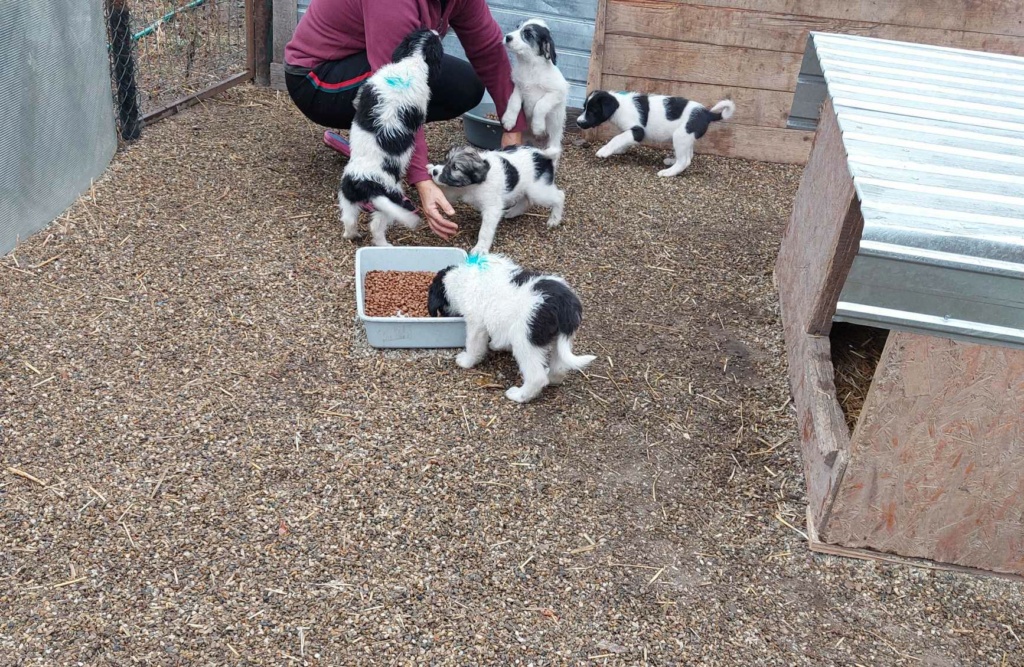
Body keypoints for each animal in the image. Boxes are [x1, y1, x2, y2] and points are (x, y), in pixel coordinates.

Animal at [339, 29, 444, 246]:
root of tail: (365, 182)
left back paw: (351, 235)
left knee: (349, 219)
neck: (412, 61)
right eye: (436, 41)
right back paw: (384, 244)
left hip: (347, 195)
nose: (436, 30)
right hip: (388, 204)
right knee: (376, 227)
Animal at [425, 145, 565, 256]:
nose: (435, 172)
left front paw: (480, 248)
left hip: (538, 191)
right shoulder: (454, 190)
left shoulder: (492, 208)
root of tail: (543, 155)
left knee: (559, 196)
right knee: (526, 201)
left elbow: (485, 231)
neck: (472, 184)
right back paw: (511, 212)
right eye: (445, 160)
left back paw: (554, 219)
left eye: (455, 168)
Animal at [428, 254, 598, 401]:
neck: (461, 278)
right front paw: (496, 345)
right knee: (560, 367)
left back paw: (519, 395)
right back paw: (552, 377)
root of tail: (564, 305)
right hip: (559, 339)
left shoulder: (476, 325)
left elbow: (474, 346)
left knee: (536, 377)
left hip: (525, 340)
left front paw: (466, 361)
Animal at [577, 90, 737, 177]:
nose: (578, 122)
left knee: (685, 161)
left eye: (593, 111)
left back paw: (668, 172)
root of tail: (707, 114)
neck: (619, 106)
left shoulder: (638, 131)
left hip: (680, 136)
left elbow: (617, 138)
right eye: (584, 107)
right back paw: (671, 161)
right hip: (686, 138)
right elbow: (622, 138)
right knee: (688, 155)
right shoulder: (629, 131)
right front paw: (619, 150)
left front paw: (604, 151)